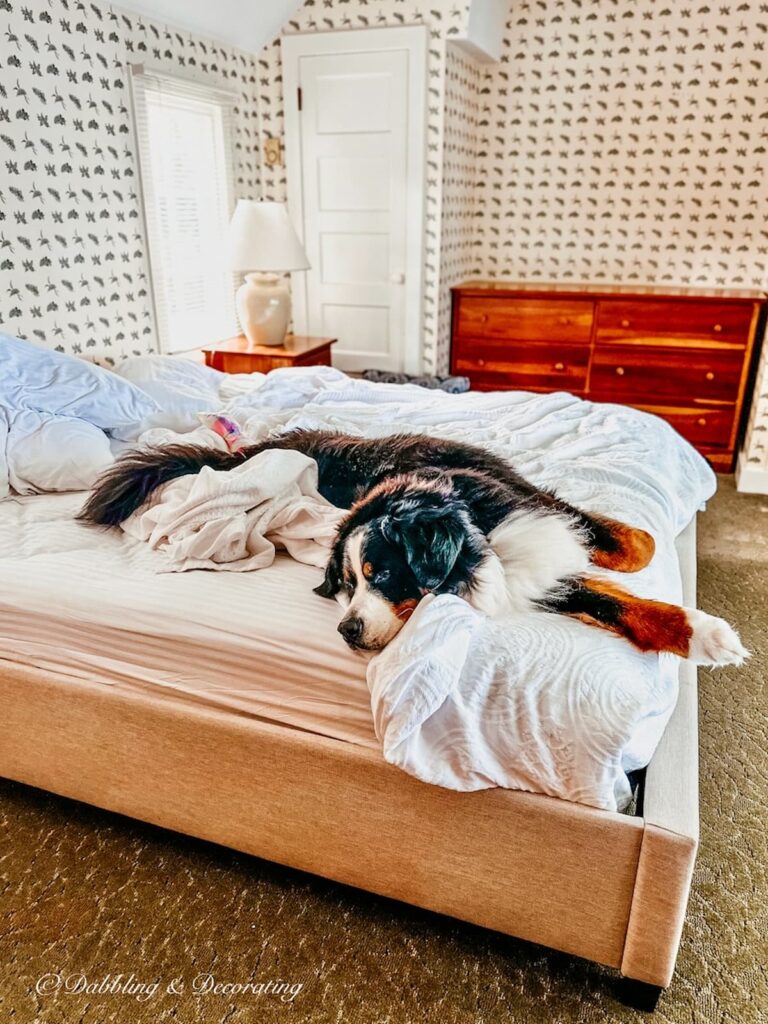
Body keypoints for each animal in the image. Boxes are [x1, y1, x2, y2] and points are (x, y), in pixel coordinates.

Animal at [81, 430, 749, 663]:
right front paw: (700, 634)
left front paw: (705, 632)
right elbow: (605, 599)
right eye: (346, 586)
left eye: (381, 574)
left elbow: (621, 549)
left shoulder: (528, 511)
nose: (346, 630)